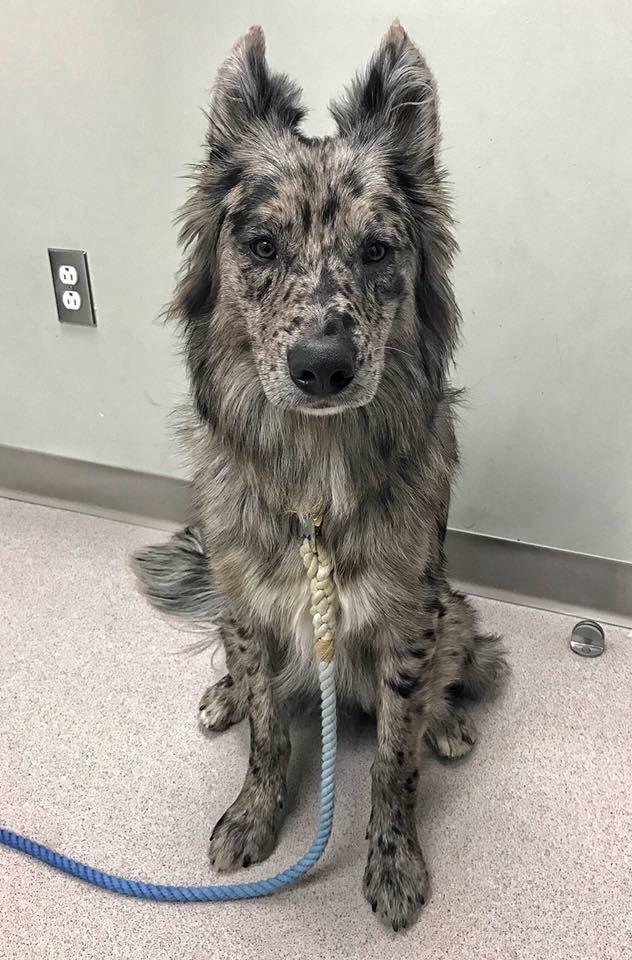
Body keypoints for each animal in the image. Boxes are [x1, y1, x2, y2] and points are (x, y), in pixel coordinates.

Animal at [135, 24, 508, 928]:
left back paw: (449, 722)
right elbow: (269, 735)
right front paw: (254, 815)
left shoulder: (409, 618)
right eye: (262, 246)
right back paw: (226, 694)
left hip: (454, 607)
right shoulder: (249, 604)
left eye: (377, 251)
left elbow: (393, 762)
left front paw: (394, 859)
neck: (316, 468)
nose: (323, 368)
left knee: (462, 664)